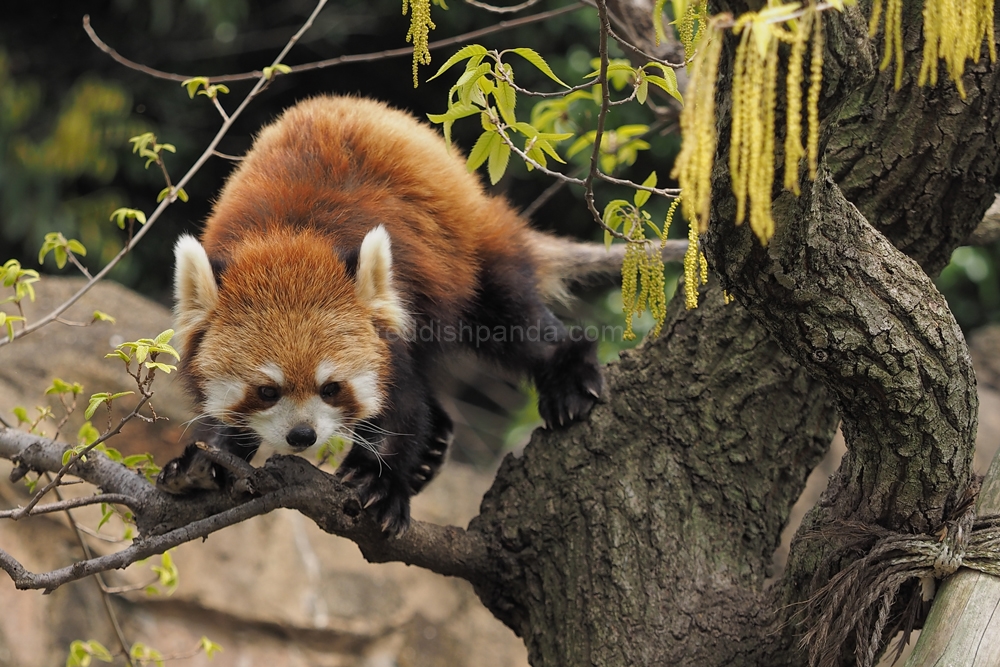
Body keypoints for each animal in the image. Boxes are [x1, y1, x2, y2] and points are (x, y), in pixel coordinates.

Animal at [160, 94, 684, 536]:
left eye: (332, 387)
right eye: (267, 391)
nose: (302, 435)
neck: (290, 238)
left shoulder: (399, 319)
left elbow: (404, 404)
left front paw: (381, 482)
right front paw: (207, 465)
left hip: (472, 261)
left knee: (516, 327)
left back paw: (568, 380)